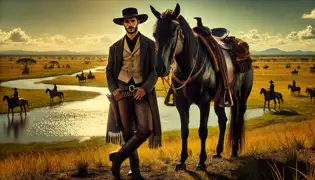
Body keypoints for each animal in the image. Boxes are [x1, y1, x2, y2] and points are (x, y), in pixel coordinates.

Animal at [151, 3, 254, 171]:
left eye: (173, 33)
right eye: (154, 34)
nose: (160, 68)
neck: (189, 66)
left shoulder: (204, 103)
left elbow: (202, 131)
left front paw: (201, 162)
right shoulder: (181, 103)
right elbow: (184, 131)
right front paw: (182, 161)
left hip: (242, 97)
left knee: (238, 119)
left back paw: (234, 150)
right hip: (220, 100)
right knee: (223, 120)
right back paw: (218, 151)